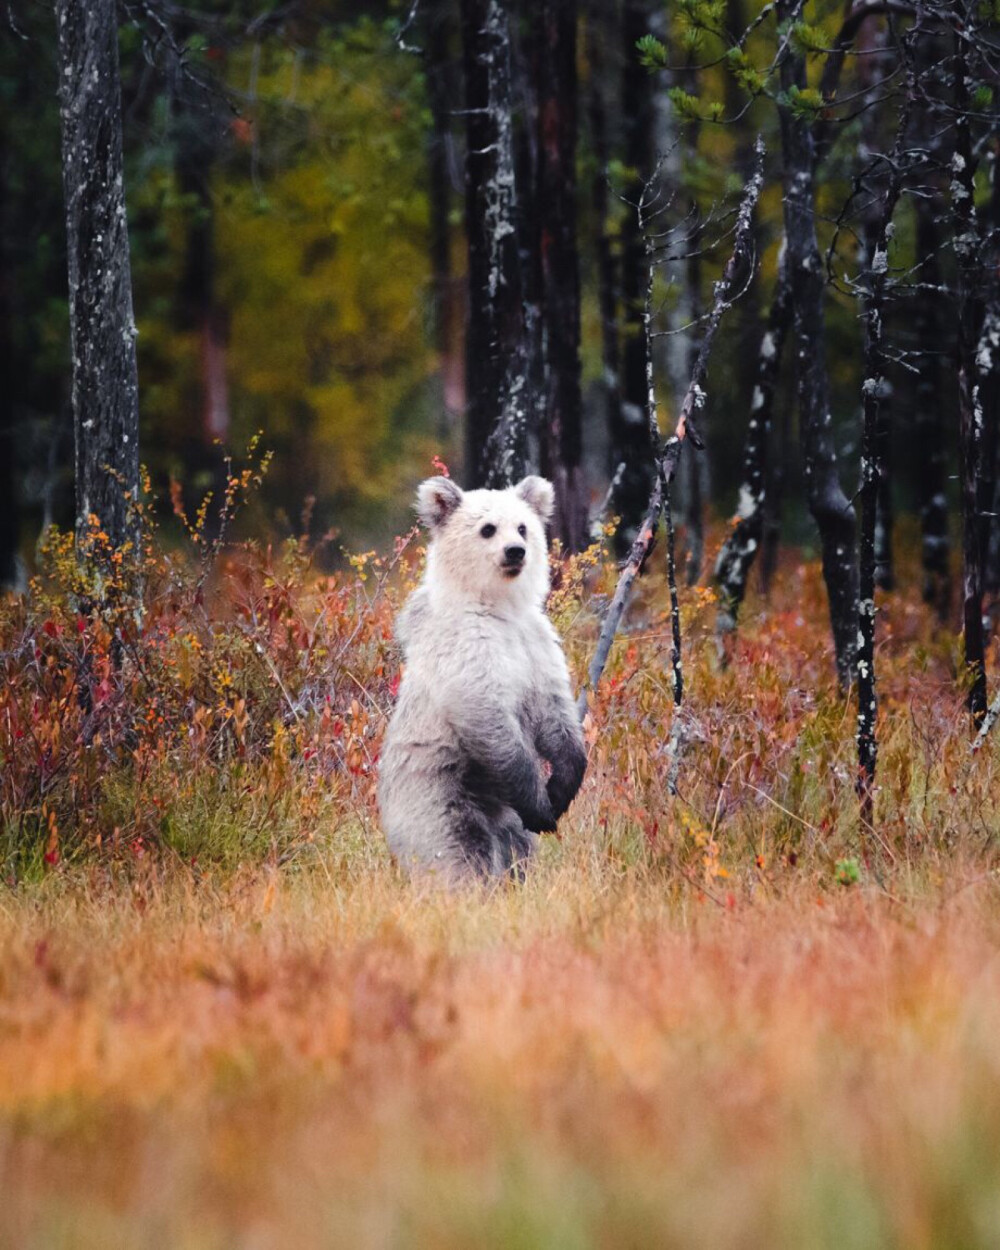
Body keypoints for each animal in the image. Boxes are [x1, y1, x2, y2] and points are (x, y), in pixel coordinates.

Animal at [380, 470, 585, 880]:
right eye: (488, 528)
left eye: (523, 527)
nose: (516, 551)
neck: (500, 608)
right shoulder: (469, 651)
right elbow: (487, 715)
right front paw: (540, 806)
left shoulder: (535, 644)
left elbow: (556, 713)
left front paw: (560, 789)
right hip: (437, 796)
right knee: (457, 854)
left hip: (505, 824)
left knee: (518, 849)